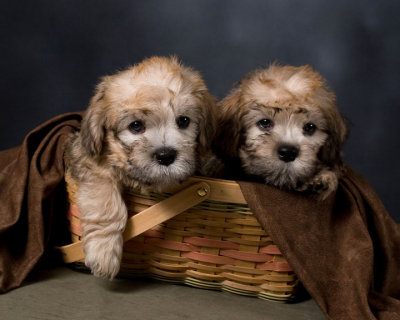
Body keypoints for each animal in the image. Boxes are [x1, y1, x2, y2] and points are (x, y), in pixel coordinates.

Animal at [65, 56, 219, 278]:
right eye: (136, 126)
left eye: (183, 121)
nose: (165, 155)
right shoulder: (89, 163)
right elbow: (105, 202)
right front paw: (103, 253)